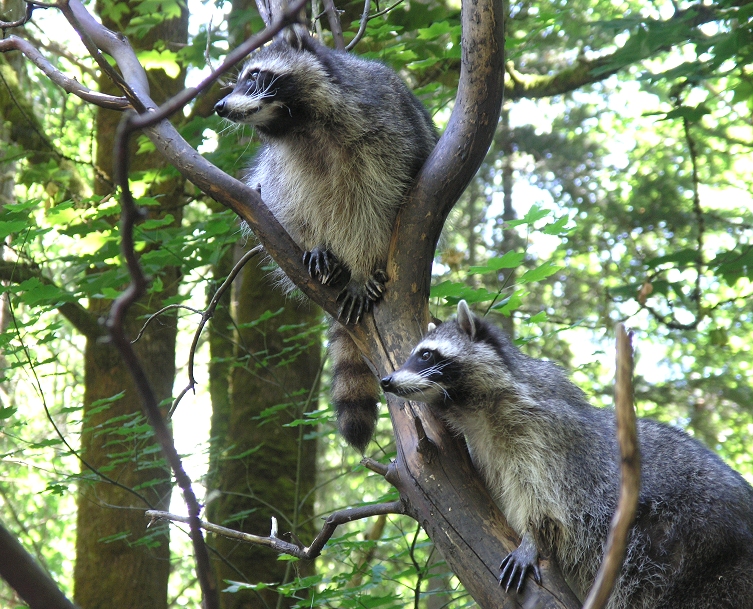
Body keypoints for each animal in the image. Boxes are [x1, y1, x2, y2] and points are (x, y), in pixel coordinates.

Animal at [215, 31, 438, 451]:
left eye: (254, 76)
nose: (219, 106)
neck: (300, 122)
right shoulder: (286, 162)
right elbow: (290, 204)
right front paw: (316, 243)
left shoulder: (384, 133)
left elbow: (376, 204)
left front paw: (364, 266)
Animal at [381, 300, 753, 608]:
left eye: (426, 355)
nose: (385, 380)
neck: (474, 409)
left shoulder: (546, 434)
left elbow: (547, 498)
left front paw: (532, 537)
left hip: (689, 549)